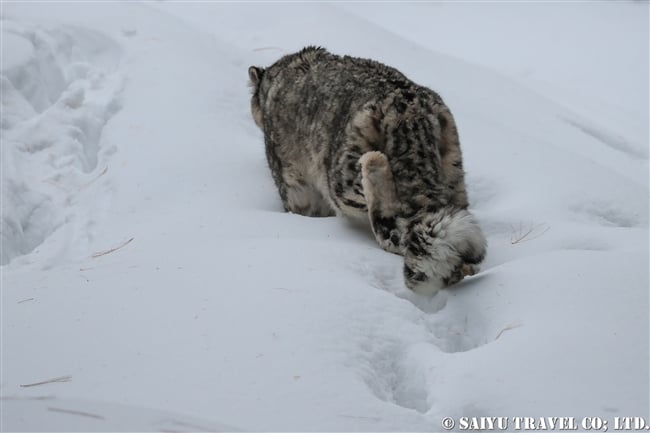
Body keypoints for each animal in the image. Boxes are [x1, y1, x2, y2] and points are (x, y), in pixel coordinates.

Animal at [248, 46, 486, 294]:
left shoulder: (293, 182)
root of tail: (409, 114)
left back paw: (374, 166)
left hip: (343, 177)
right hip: (454, 171)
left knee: (390, 226)